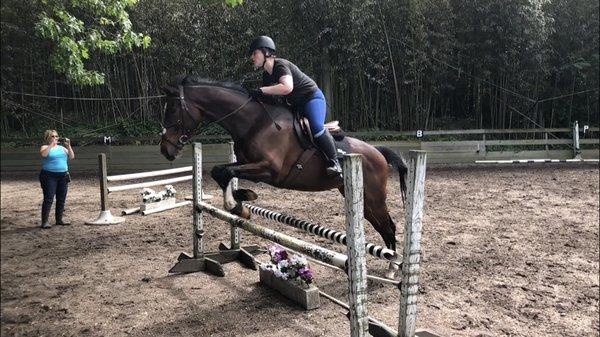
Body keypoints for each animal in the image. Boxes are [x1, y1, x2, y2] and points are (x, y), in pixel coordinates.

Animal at [159, 77, 408, 278]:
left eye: (172, 109)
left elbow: (227, 172)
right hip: (359, 198)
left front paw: (237, 204)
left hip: (373, 198)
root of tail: (377, 151)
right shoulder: (245, 164)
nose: (165, 150)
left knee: (389, 226)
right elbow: (220, 171)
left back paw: (392, 268)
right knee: (383, 227)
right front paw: (242, 200)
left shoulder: (270, 170)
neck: (254, 122)